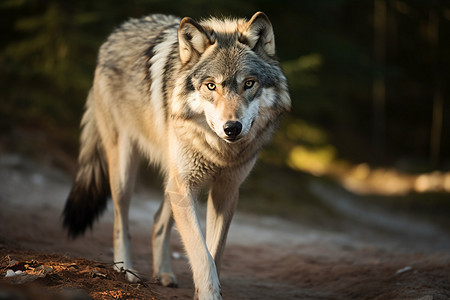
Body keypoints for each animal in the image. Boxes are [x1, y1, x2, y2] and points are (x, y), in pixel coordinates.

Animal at [61, 11, 290, 300]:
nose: (232, 128)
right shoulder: (187, 187)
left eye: (249, 84)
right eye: (211, 86)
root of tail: (116, 32)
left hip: (175, 183)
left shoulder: (226, 191)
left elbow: (214, 253)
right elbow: (201, 253)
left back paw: (164, 273)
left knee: (158, 220)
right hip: (128, 173)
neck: (220, 153)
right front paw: (208, 293)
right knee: (120, 221)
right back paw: (126, 271)